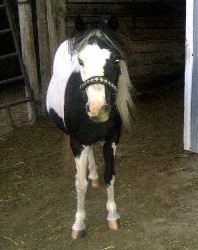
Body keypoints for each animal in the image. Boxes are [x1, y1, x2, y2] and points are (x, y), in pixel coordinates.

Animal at [46, 16, 135, 240]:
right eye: (80, 61)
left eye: (115, 60)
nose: (97, 109)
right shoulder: (77, 142)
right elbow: (80, 184)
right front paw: (78, 224)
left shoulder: (112, 139)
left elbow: (110, 175)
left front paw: (112, 215)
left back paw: (93, 174)